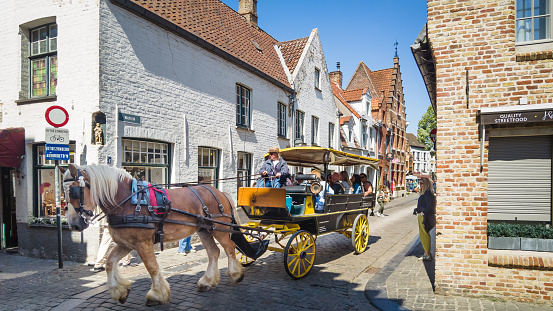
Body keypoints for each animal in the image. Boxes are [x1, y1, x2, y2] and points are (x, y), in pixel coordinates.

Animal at [59, 165, 243, 306]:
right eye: (63, 193)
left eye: (74, 192)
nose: (74, 224)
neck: (126, 201)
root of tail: (219, 192)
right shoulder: (126, 244)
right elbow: (110, 263)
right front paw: (120, 291)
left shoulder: (142, 243)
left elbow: (152, 267)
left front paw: (157, 295)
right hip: (203, 230)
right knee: (214, 252)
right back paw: (207, 282)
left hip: (219, 228)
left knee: (229, 248)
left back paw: (236, 274)